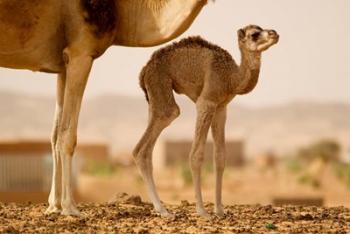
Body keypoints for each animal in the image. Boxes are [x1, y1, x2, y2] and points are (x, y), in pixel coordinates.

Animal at [133, 25, 278, 218]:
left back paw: (161, 208)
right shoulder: (206, 101)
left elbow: (220, 156)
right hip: (160, 86)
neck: (231, 78)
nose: (274, 33)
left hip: (154, 97)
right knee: (153, 134)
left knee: (146, 148)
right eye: (254, 34)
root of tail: (144, 71)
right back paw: (164, 211)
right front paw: (202, 211)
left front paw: (220, 210)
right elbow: (196, 155)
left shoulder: (221, 107)